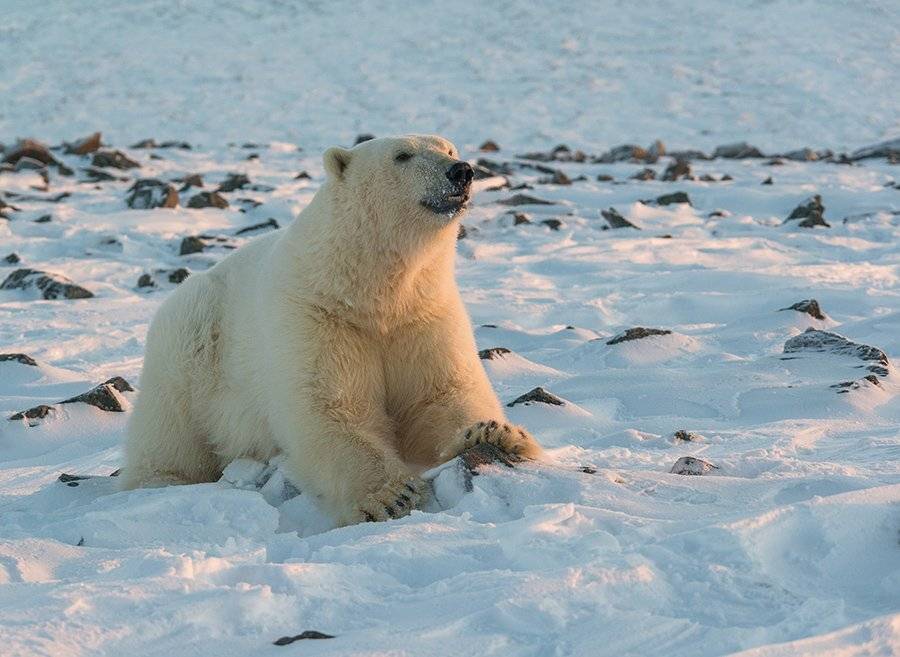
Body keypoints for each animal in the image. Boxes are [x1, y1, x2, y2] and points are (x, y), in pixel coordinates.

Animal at [120, 135, 543, 526]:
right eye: (402, 155)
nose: (462, 171)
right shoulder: (316, 315)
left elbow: (442, 392)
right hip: (190, 340)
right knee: (170, 425)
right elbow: (332, 407)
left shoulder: (423, 314)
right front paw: (391, 494)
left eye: (450, 149)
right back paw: (161, 480)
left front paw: (497, 435)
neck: (368, 292)